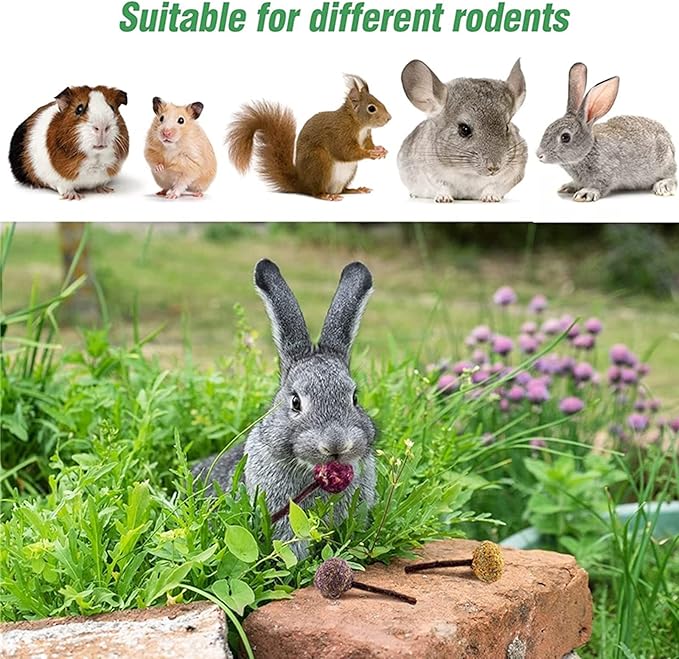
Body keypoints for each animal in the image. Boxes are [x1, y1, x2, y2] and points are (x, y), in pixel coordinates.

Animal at [397, 59, 527, 203]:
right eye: (464, 129)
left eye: (507, 127)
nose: (494, 167)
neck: (468, 173)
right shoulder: (428, 172)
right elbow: (442, 185)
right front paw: (444, 198)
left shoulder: (511, 174)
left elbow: (493, 186)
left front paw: (491, 197)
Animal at [536, 63, 677, 202]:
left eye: (565, 137)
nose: (539, 155)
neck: (589, 151)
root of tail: (669, 142)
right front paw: (569, 186)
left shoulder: (607, 172)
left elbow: (600, 185)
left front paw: (586, 193)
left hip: (664, 163)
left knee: (672, 178)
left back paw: (663, 185)